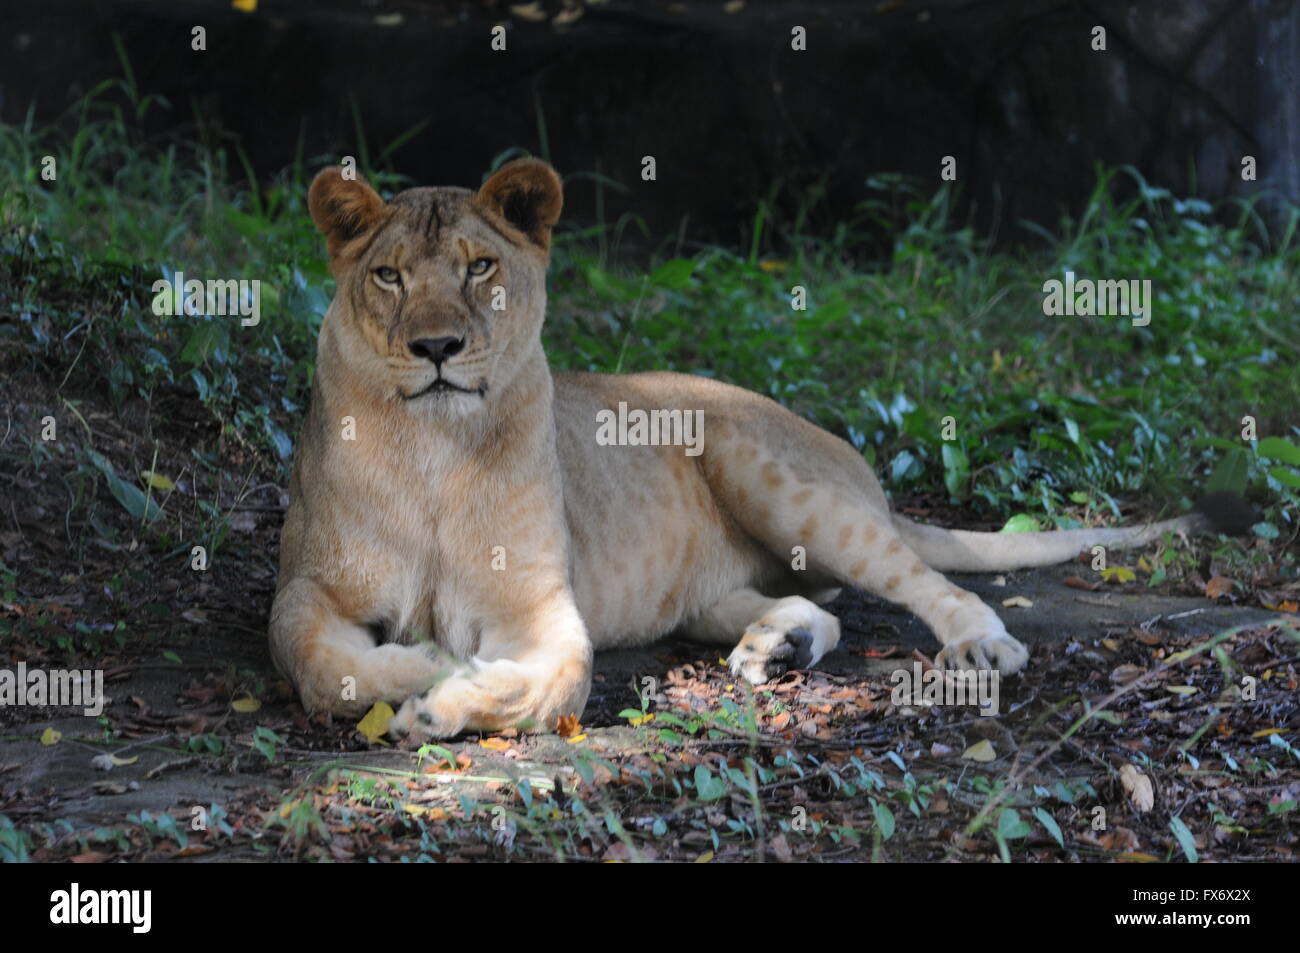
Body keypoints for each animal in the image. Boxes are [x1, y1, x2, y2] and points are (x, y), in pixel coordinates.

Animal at [269, 158, 1246, 738]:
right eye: (389, 275)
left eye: (481, 267)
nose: (436, 347)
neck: (435, 450)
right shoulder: (310, 583)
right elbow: (312, 656)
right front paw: (418, 667)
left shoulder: (543, 608)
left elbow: (549, 682)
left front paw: (437, 697)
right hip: (708, 593)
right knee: (816, 606)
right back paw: (778, 648)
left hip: (771, 475)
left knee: (925, 579)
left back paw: (980, 645)